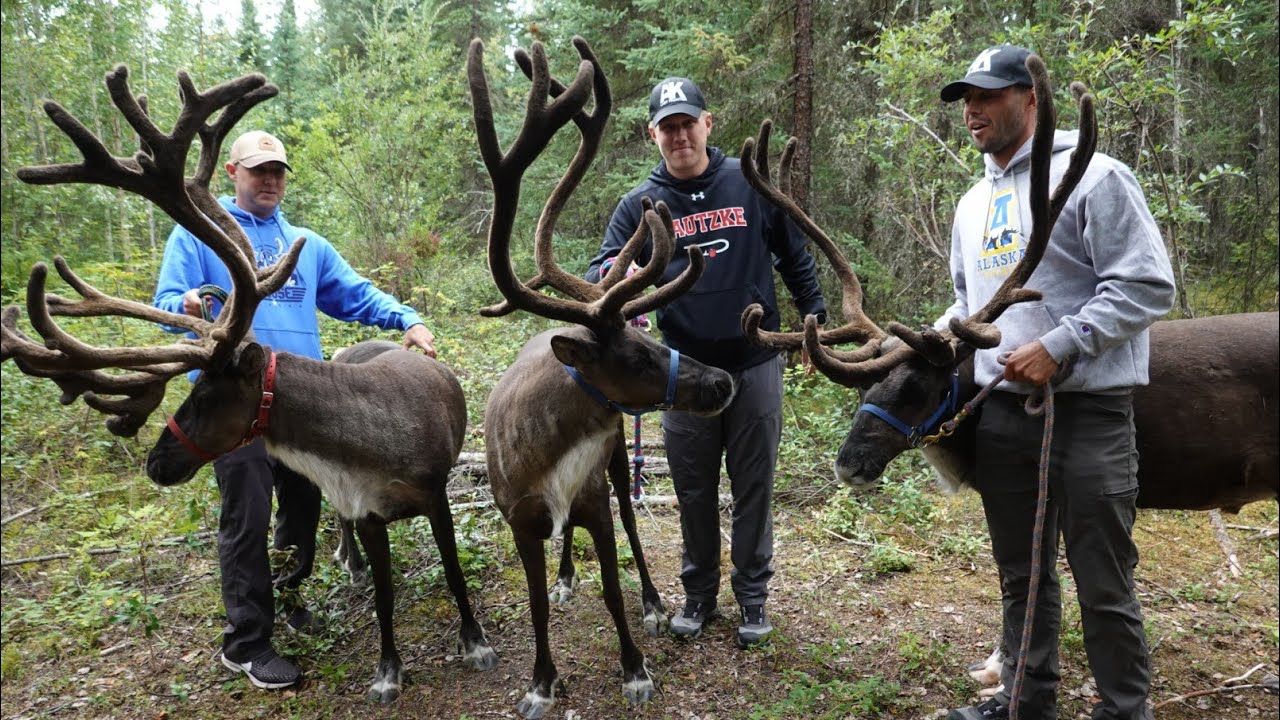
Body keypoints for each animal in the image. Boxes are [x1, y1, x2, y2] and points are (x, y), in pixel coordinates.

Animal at [467, 37, 736, 719]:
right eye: (635, 359)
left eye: (653, 337)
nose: (723, 381)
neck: (549, 454)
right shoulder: (519, 519)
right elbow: (535, 604)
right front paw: (540, 681)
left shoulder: (592, 497)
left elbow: (614, 586)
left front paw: (636, 668)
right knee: (566, 549)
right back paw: (567, 578)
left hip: (617, 462)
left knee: (633, 522)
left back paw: (655, 603)